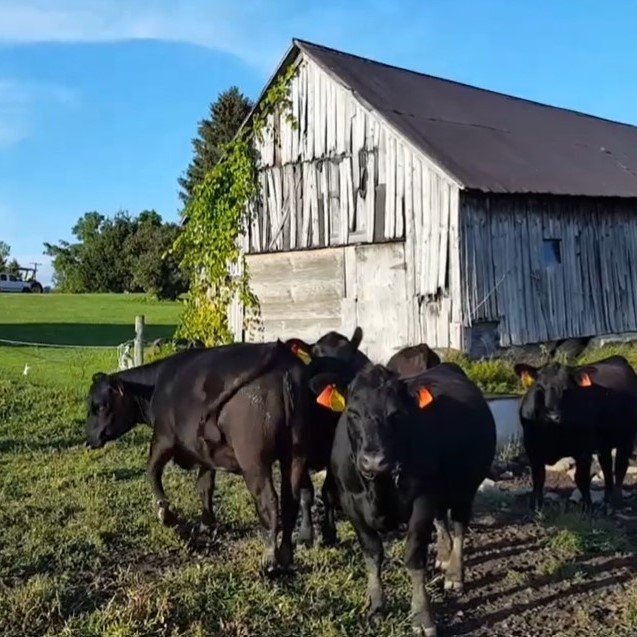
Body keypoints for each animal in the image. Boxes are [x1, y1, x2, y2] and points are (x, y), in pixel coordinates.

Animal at [306, 360, 494, 632]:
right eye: (352, 412)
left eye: (396, 414)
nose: (374, 460)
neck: (379, 486)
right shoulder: (351, 503)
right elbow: (372, 554)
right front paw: (375, 606)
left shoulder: (423, 500)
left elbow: (414, 557)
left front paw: (422, 617)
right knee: (442, 520)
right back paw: (443, 556)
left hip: (464, 489)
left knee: (459, 527)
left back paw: (454, 574)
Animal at [516, 352, 637, 512]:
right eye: (539, 386)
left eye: (567, 389)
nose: (553, 416)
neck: (552, 432)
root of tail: (618, 359)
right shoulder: (532, 449)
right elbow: (538, 478)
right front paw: (536, 506)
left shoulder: (583, 450)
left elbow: (582, 478)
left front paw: (587, 507)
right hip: (604, 443)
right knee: (606, 466)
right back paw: (606, 501)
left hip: (626, 437)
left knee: (620, 467)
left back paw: (616, 502)